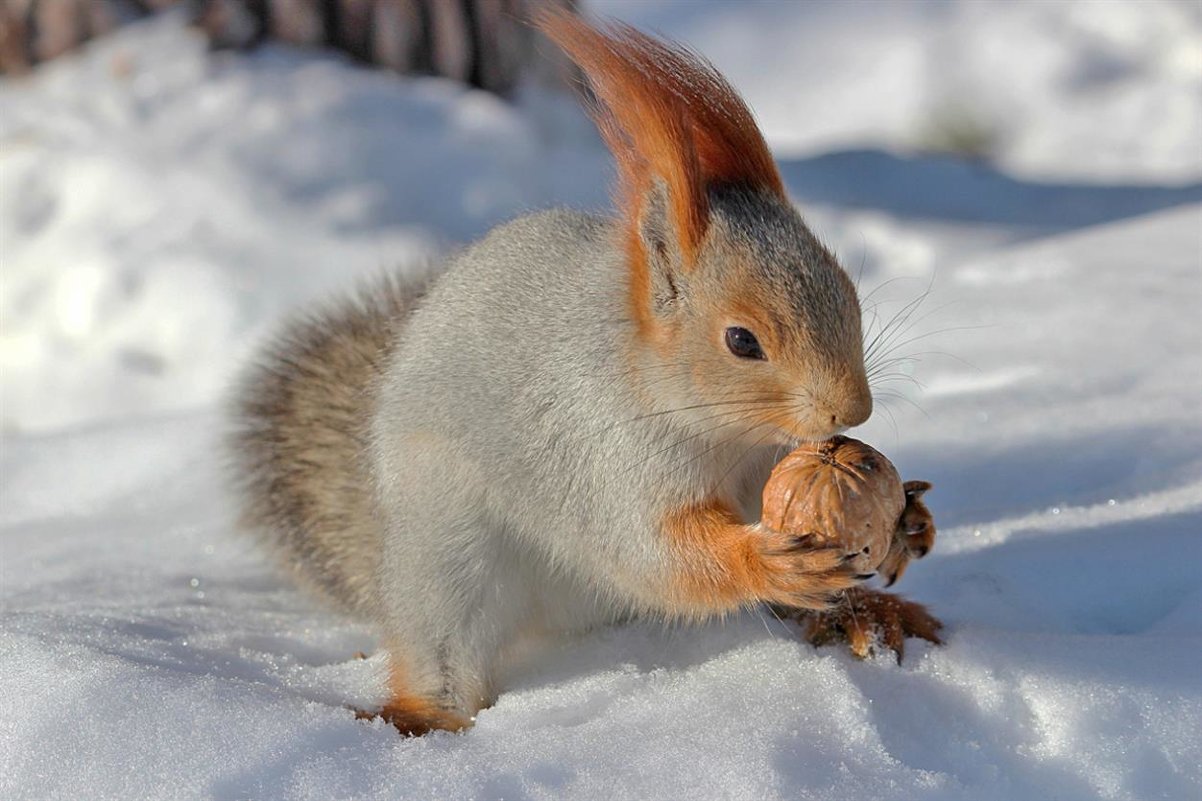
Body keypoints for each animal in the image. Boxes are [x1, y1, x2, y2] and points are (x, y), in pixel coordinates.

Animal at [227, 10, 937, 736]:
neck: (722, 433)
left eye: (849, 293)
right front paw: (763, 558)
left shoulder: (770, 461)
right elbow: (651, 550)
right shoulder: (603, 456)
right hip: (446, 550)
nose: (853, 409)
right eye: (742, 341)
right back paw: (425, 717)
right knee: (445, 647)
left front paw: (905, 518)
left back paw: (862, 613)